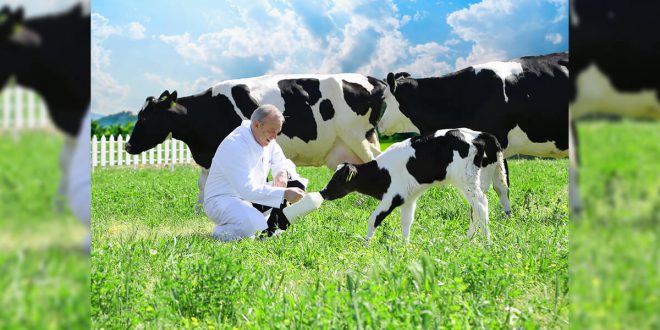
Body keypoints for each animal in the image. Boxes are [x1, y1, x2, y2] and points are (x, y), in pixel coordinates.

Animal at [127, 73, 400, 210]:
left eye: (146, 117)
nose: (128, 146)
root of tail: (373, 79)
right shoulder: (211, 157)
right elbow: (203, 185)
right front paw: (201, 210)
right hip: (345, 146)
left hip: (359, 137)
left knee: (377, 163)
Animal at [318, 128, 508, 242]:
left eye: (338, 178)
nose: (324, 191)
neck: (381, 172)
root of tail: (479, 134)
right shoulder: (408, 198)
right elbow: (406, 221)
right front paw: (405, 247)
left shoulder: (392, 197)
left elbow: (374, 219)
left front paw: (366, 245)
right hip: (480, 180)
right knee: (475, 208)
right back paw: (469, 240)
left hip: (466, 180)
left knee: (481, 205)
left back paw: (486, 243)